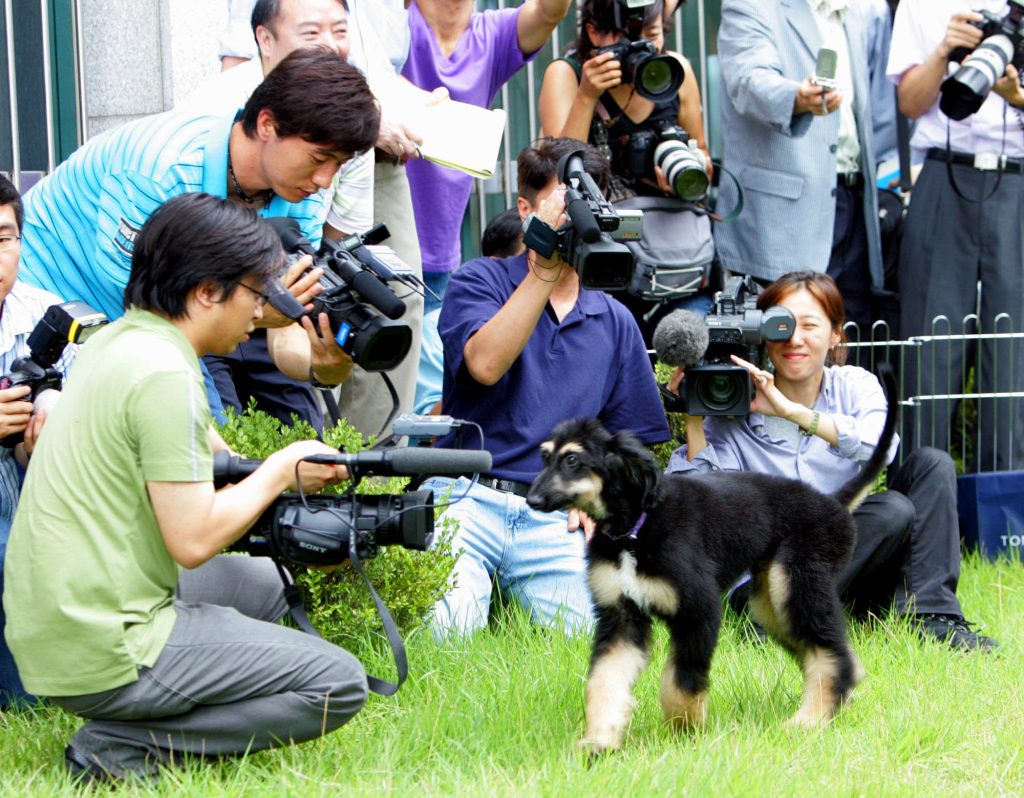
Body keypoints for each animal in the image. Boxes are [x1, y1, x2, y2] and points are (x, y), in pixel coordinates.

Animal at [528, 364, 897, 753]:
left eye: (572, 460)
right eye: (545, 457)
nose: (532, 500)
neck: (633, 530)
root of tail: (833, 502)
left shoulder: (698, 608)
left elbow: (681, 681)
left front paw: (684, 733)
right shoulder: (621, 615)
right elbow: (604, 680)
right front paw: (600, 740)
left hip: (796, 581)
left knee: (830, 655)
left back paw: (808, 721)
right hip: (771, 601)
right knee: (826, 653)